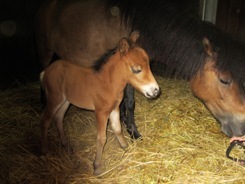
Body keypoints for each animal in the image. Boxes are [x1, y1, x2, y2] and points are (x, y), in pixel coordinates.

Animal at [35, 0, 245, 139]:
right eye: (224, 80)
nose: (243, 128)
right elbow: (123, 103)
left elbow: (126, 103)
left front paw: (128, 127)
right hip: (45, 49)